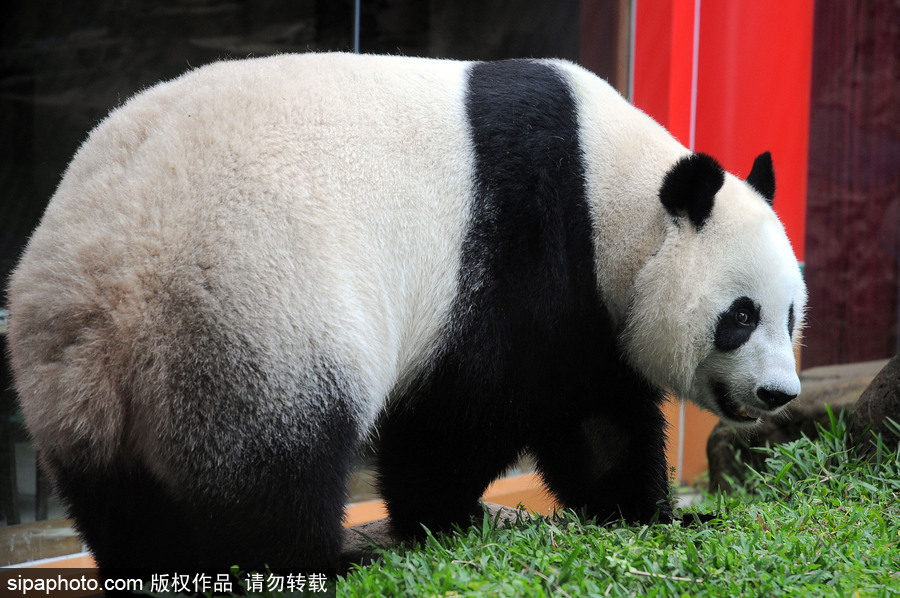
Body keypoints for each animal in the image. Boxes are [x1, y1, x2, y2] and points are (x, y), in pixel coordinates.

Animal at [7, 54, 804, 576]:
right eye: (740, 315)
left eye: (792, 315)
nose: (778, 394)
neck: (612, 185)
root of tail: (109, 288)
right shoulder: (520, 244)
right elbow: (467, 409)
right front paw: (448, 518)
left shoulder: (590, 311)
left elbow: (596, 419)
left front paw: (664, 513)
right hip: (250, 312)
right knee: (273, 468)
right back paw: (320, 563)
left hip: (72, 380)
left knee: (120, 500)